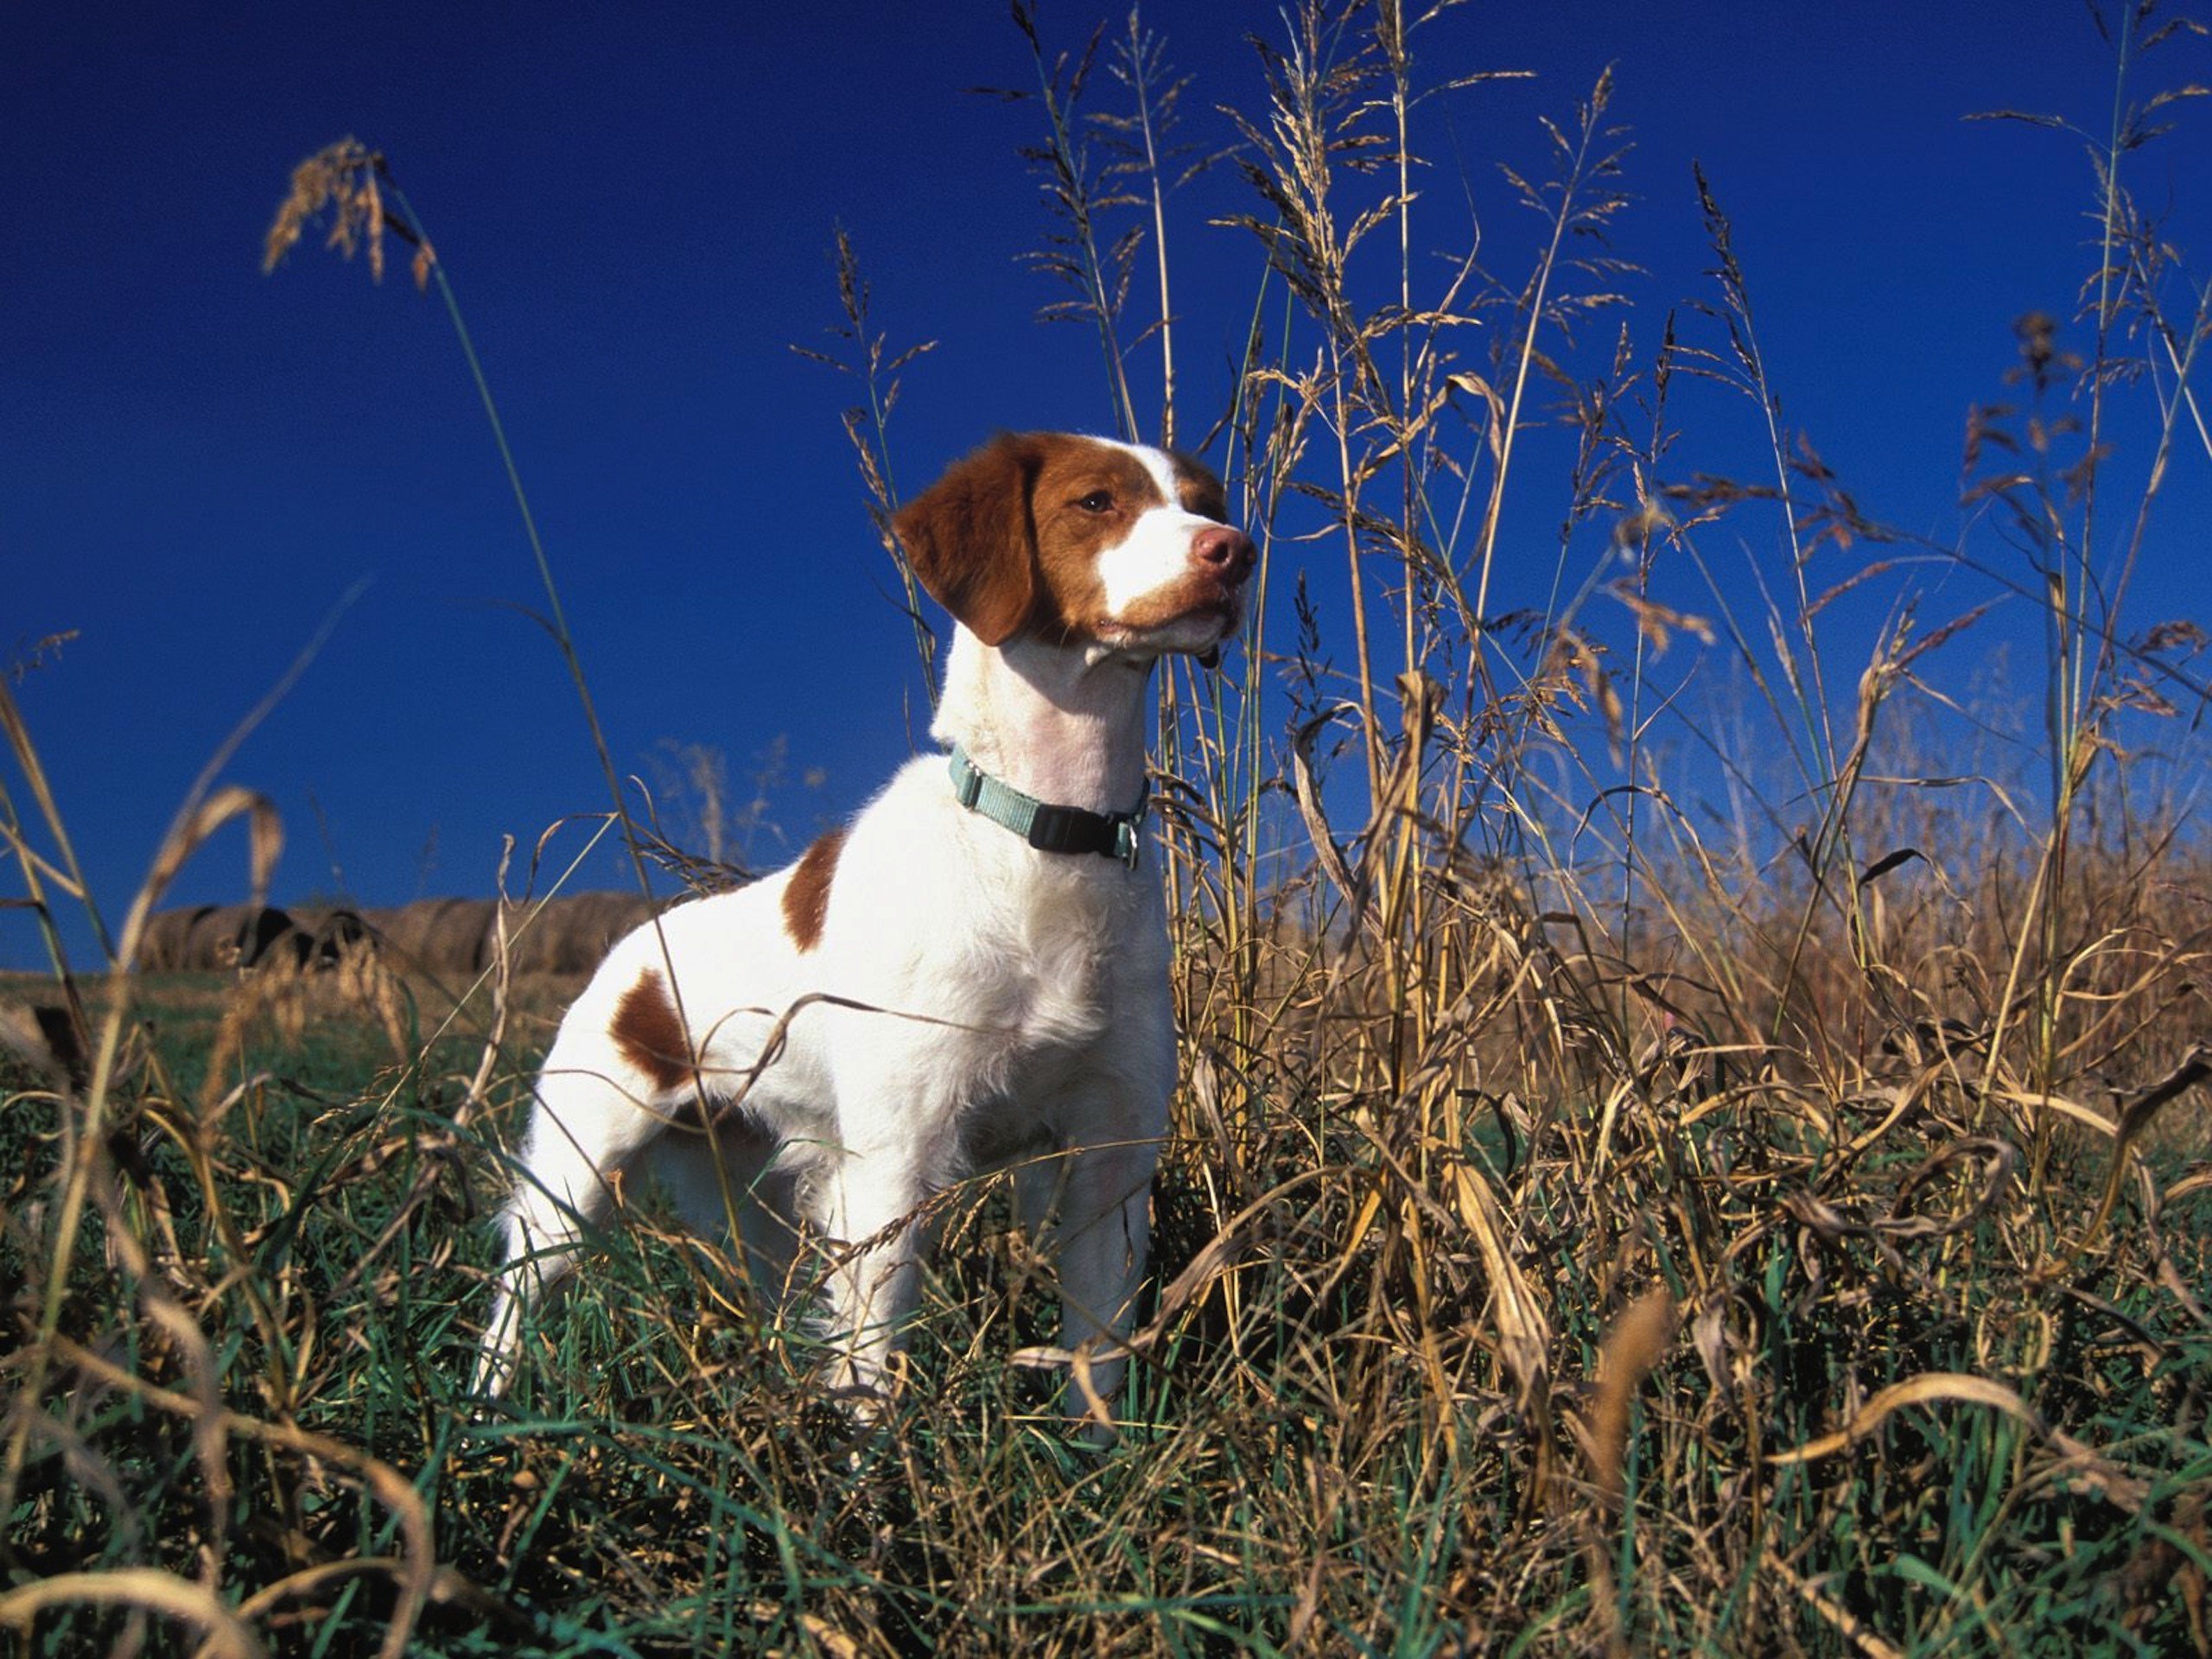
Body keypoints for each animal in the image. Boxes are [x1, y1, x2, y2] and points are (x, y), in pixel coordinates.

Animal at [473, 435, 1256, 1433]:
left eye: (1203, 503)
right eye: (1095, 501)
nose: (1235, 551)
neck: (1040, 834)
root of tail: (630, 948)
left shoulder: (1111, 1155)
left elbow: (1097, 1354)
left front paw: (1101, 1458)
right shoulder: (892, 1160)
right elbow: (873, 1366)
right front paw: (875, 1472)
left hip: (755, 1197)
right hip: (578, 1165)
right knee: (519, 1289)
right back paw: (486, 1415)